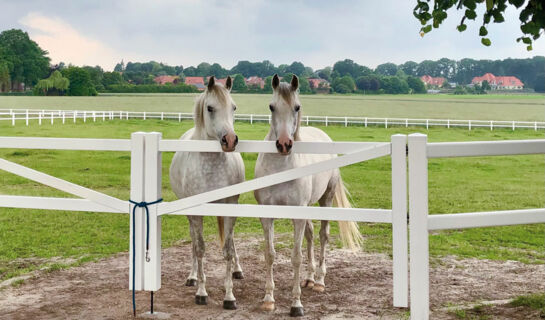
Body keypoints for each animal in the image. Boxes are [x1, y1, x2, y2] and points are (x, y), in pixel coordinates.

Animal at [169, 77, 243, 310]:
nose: (230, 140)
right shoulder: (195, 213)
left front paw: (229, 296)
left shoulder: (230, 208)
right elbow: (200, 248)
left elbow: (228, 249)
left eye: (234, 107)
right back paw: (192, 277)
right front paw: (201, 292)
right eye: (210, 108)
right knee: (194, 241)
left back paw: (238, 270)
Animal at [254, 75, 362, 318]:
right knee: (311, 236)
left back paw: (320, 281)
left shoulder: (298, 215)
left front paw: (296, 304)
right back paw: (310, 279)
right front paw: (268, 299)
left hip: (325, 200)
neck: (281, 168)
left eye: (297, 107)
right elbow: (270, 254)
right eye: (271, 106)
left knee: (322, 236)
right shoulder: (267, 215)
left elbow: (296, 257)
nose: (284, 144)